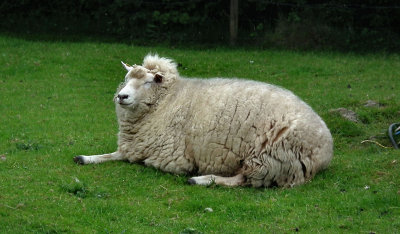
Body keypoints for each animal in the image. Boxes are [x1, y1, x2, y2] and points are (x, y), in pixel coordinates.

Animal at [73, 54, 332, 187]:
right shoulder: (136, 145)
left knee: (241, 180)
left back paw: (201, 179)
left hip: (270, 158)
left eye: (148, 82)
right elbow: (113, 154)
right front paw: (85, 157)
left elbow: (133, 159)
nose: (121, 96)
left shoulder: (169, 157)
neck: (168, 100)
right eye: (126, 78)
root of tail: (326, 149)